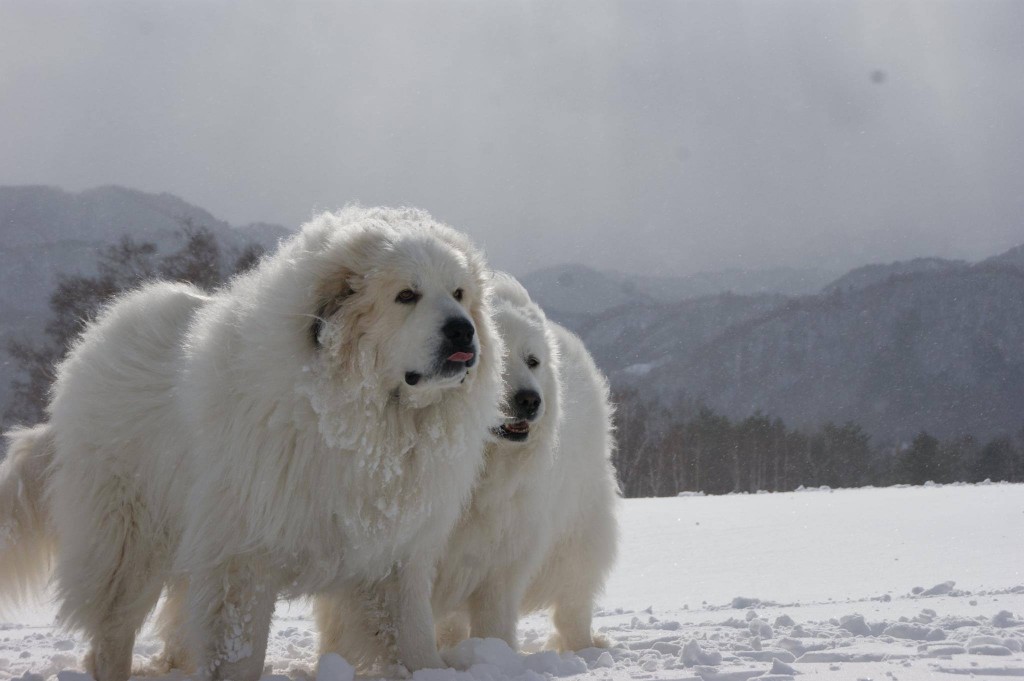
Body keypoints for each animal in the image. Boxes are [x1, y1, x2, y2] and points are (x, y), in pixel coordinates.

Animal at [0, 206, 499, 679]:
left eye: (459, 294)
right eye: (406, 296)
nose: (462, 330)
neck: (367, 421)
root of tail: (91, 341)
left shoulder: (395, 556)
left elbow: (413, 638)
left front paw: (431, 670)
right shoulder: (242, 557)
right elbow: (240, 651)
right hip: (131, 539)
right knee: (113, 632)